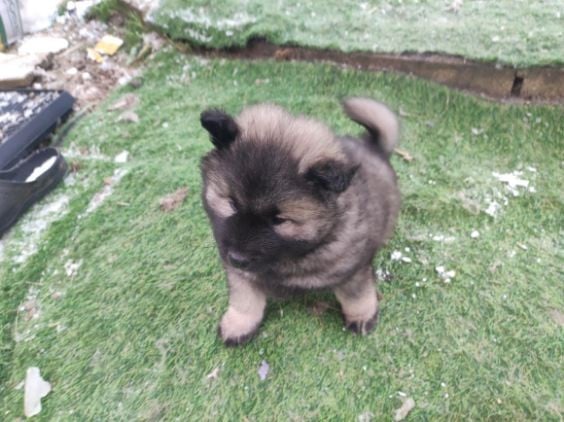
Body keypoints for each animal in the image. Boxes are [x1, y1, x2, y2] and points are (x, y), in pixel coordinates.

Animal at [200, 97, 400, 345]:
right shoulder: (238, 268)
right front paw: (239, 324)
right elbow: (244, 296)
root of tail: (372, 145)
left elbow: (357, 295)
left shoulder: (354, 269)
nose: (237, 258)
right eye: (232, 204)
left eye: (279, 220)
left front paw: (362, 317)